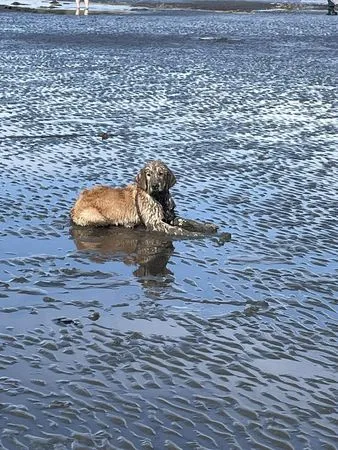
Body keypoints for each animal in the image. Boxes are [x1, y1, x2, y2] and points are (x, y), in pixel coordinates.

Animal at [71, 160, 218, 236]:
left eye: (161, 173)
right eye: (148, 174)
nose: (155, 185)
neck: (160, 199)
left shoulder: (171, 217)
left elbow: (191, 222)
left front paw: (208, 227)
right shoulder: (155, 222)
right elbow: (179, 230)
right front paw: (195, 235)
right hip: (98, 217)